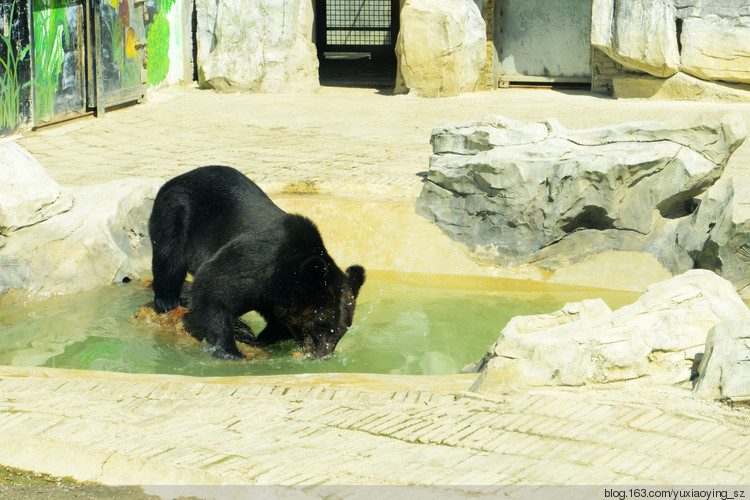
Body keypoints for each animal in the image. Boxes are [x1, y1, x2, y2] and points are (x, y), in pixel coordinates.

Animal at [148, 165, 368, 360]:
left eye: (340, 331)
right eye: (321, 326)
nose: (322, 355)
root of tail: (178, 177)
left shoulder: (274, 295)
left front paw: (264, 337)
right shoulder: (256, 261)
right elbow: (211, 286)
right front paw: (229, 349)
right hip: (176, 210)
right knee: (169, 256)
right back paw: (166, 300)